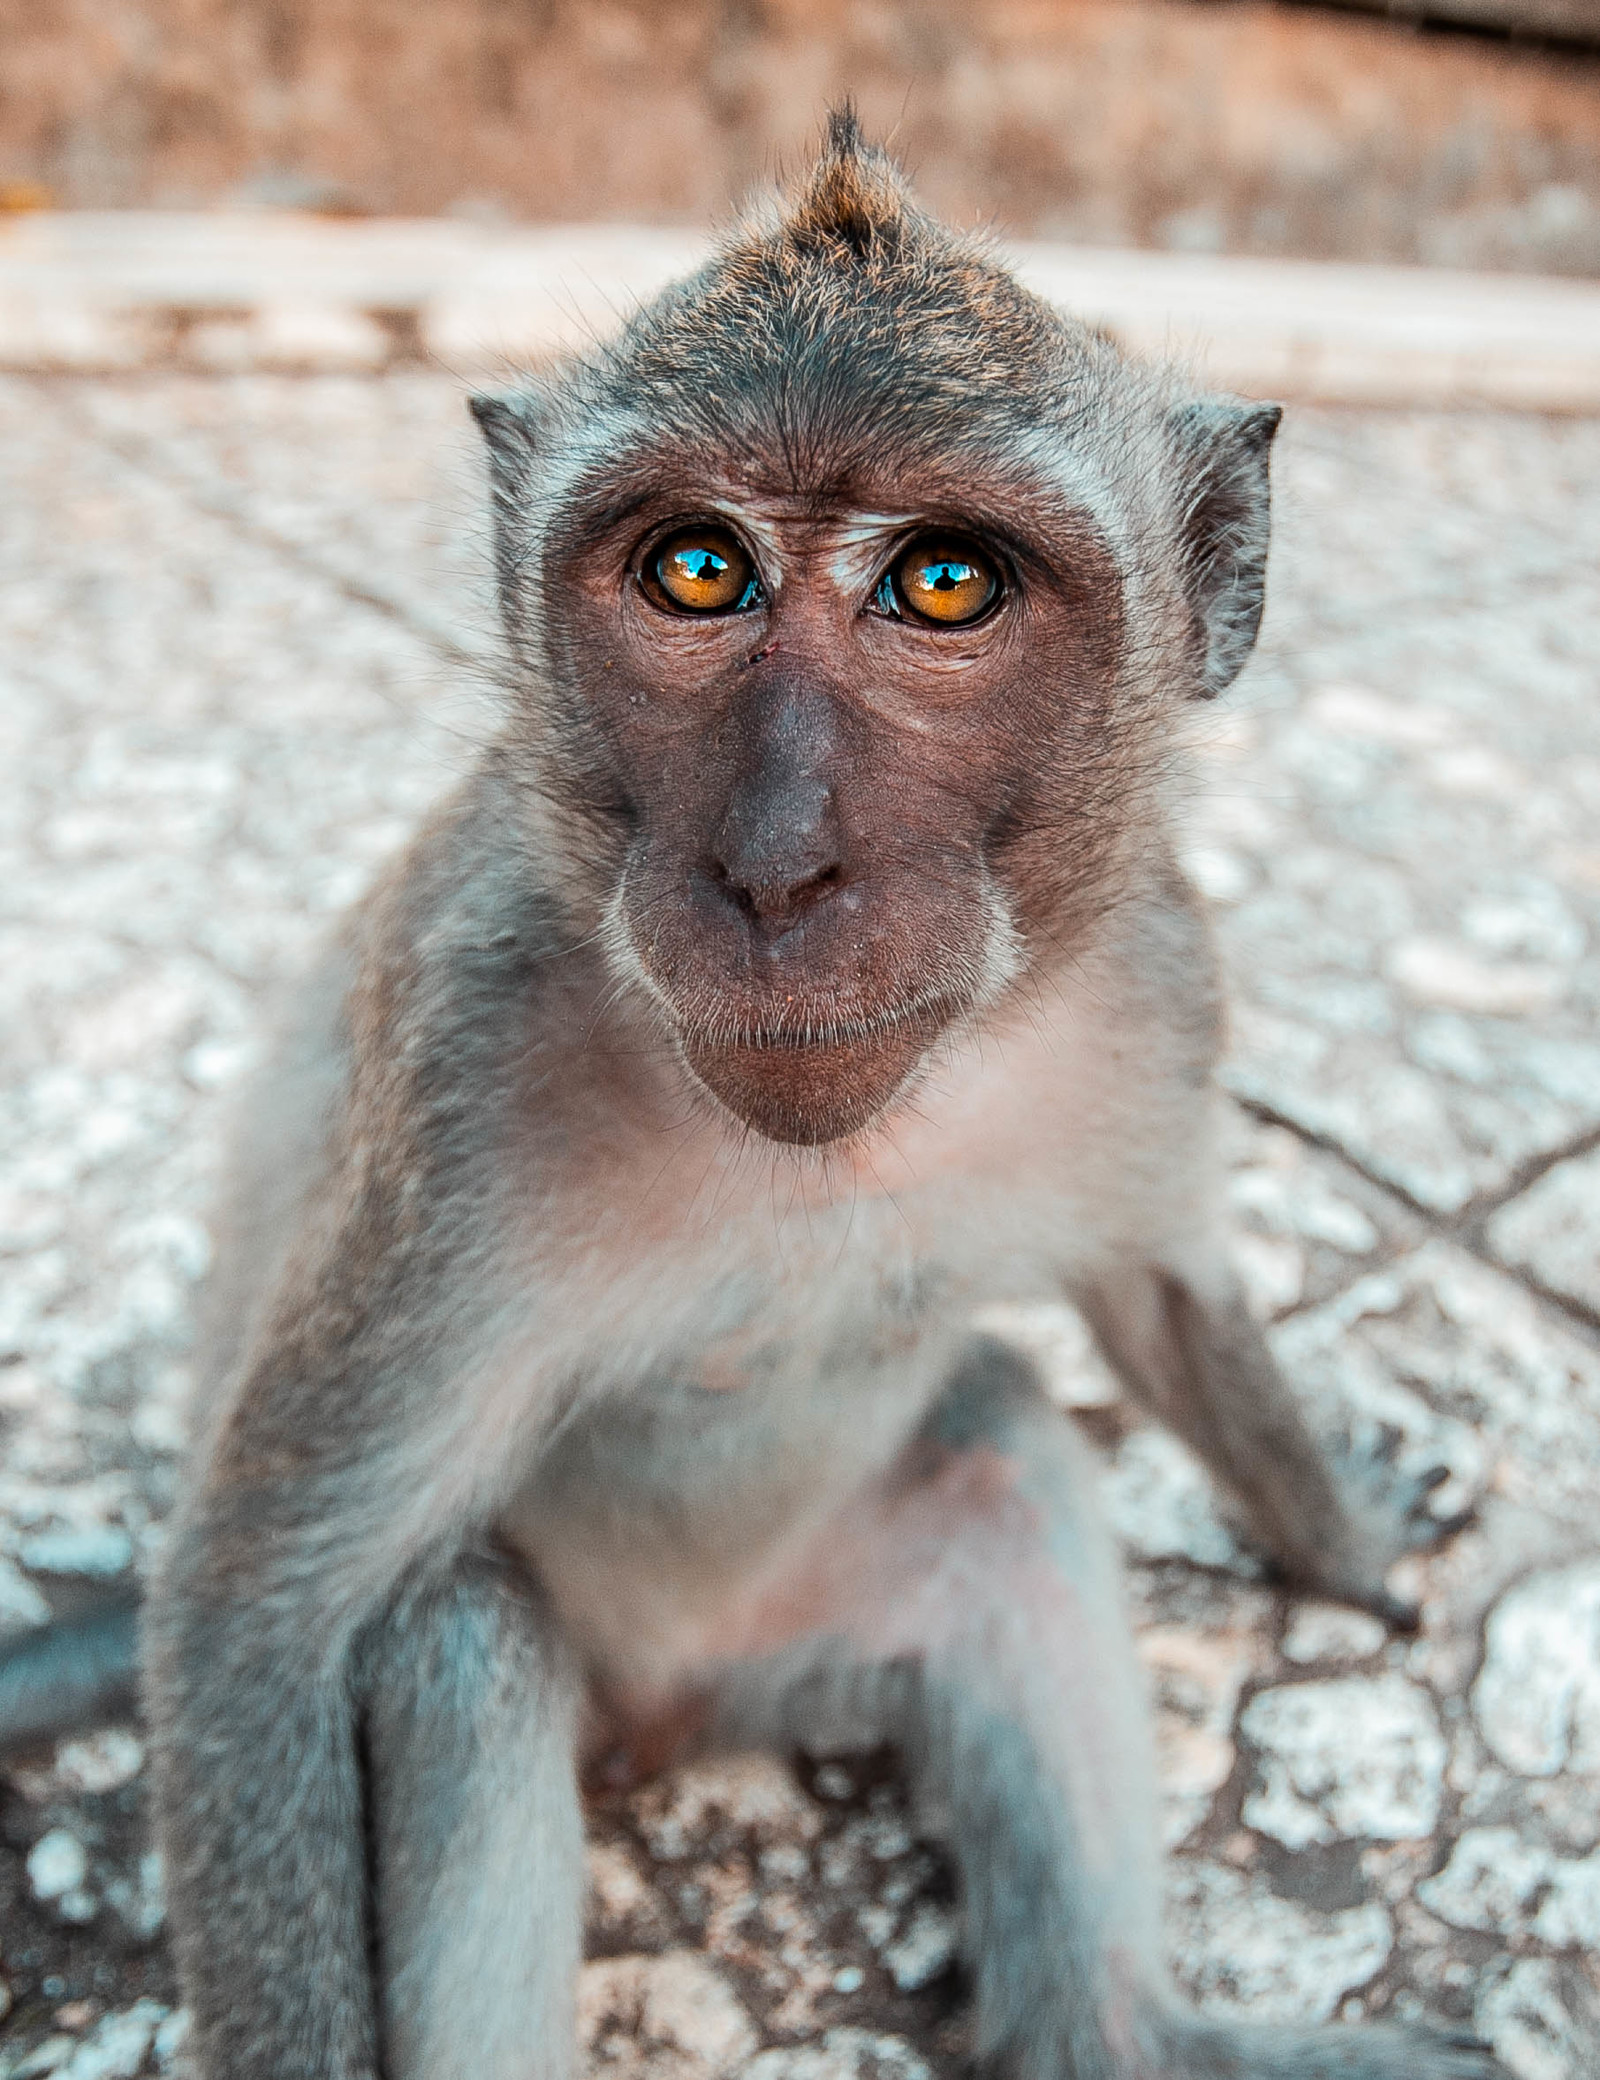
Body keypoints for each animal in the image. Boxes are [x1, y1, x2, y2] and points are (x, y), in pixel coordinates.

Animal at [6, 118, 1489, 2080]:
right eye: (698, 572)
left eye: (944, 583)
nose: (780, 865)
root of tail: (678, 1710)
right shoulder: (466, 1059)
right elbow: (259, 1610)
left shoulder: (1160, 996)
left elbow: (1172, 1309)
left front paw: (1344, 1536)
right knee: (460, 1639)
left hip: (806, 1633)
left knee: (1003, 1442)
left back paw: (1125, 2034)